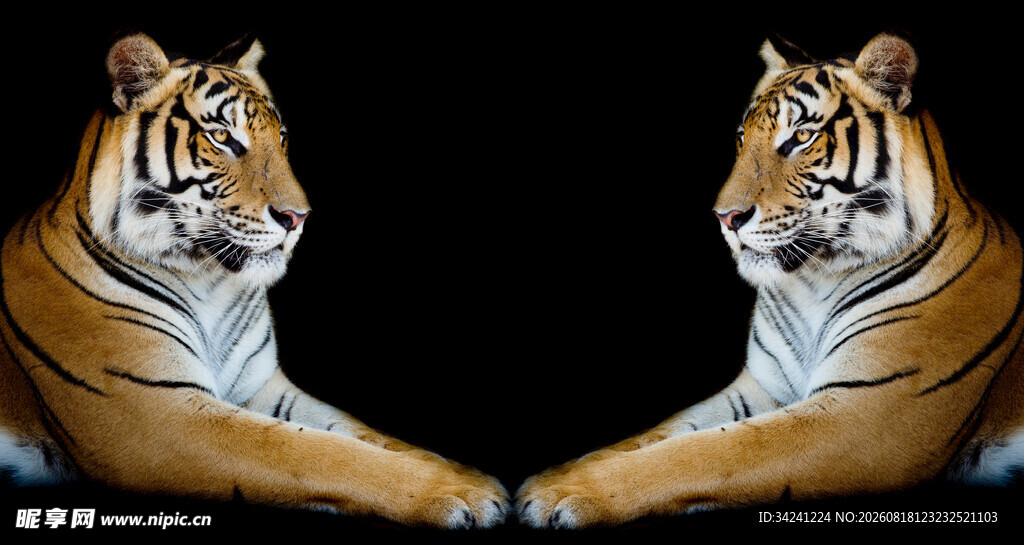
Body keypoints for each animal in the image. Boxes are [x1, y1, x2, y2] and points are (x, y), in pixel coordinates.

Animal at [0, 32, 509, 529]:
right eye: (222, 137)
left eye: (281, 138)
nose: (298, 217)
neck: (207, 281)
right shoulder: (153, 412)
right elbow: (314, 451)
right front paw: (462, 493)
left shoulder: (262, 387)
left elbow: (365, 433)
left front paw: (470, 475)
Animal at [515, 32, 1024, 528]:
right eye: (742, 138)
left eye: (801, 137)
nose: (725, 217)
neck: (816, 281)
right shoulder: (761, 387)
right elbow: (658, 433)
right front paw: (553, 475)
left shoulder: (870, 412)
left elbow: (710, 450)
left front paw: (562, 492)